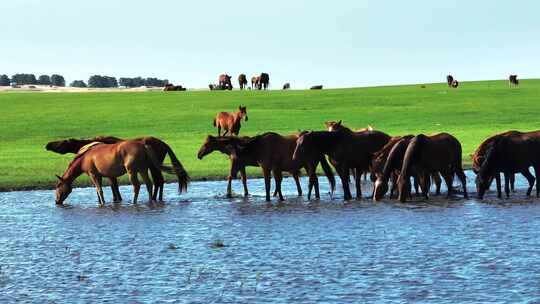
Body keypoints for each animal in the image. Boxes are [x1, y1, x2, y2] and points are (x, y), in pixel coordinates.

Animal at [47, 136, 190, 202]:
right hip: (145, 169)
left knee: (143, 184)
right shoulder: (107, 175)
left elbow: (101, 190)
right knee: (152, 183)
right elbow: (110, 188)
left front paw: (104, 202)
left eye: (57, 187)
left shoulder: (95, 174)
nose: (57, 201)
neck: (86, 155)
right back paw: (152, 200)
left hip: (136, 170)